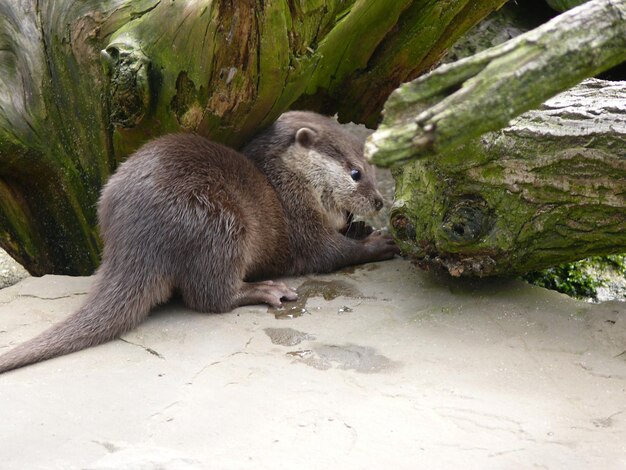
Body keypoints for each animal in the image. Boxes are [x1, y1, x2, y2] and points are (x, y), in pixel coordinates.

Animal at [0, 112, 398, 372]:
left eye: (372, 168)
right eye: (356, 173)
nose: (380, 201)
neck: (286, 182)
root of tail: (133, 239)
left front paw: (362, 228)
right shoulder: (301, 223)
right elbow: (328, 253)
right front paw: (380, 242)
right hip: (221, 225)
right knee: (209, 296)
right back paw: (264, 290)